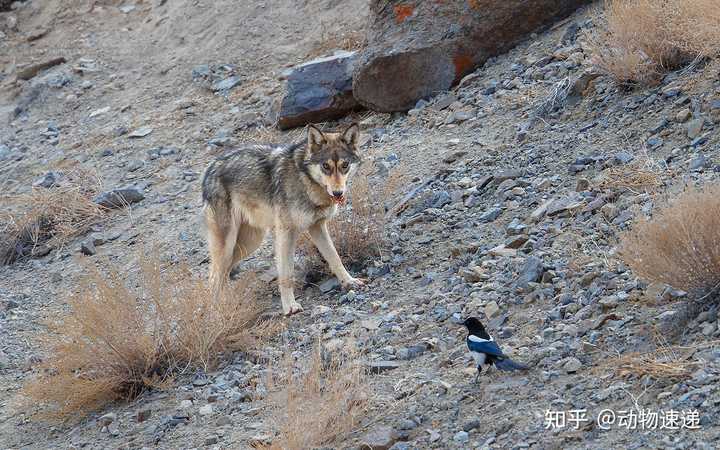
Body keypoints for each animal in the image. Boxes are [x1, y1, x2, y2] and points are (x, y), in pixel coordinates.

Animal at [202, 121, 366, 314]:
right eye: (325, 166)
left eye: (344, 165)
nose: (338, 193)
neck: (306, 180)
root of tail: (210, 169)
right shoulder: (286, 232)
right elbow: (286, 274)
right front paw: (290, 307)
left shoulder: (317, 227)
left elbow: (335, 257)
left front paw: (349, 281)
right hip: (228, 246)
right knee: (214, 276)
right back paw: (216, 309)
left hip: (249, 244)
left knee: (224, 274)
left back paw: (226, 303)